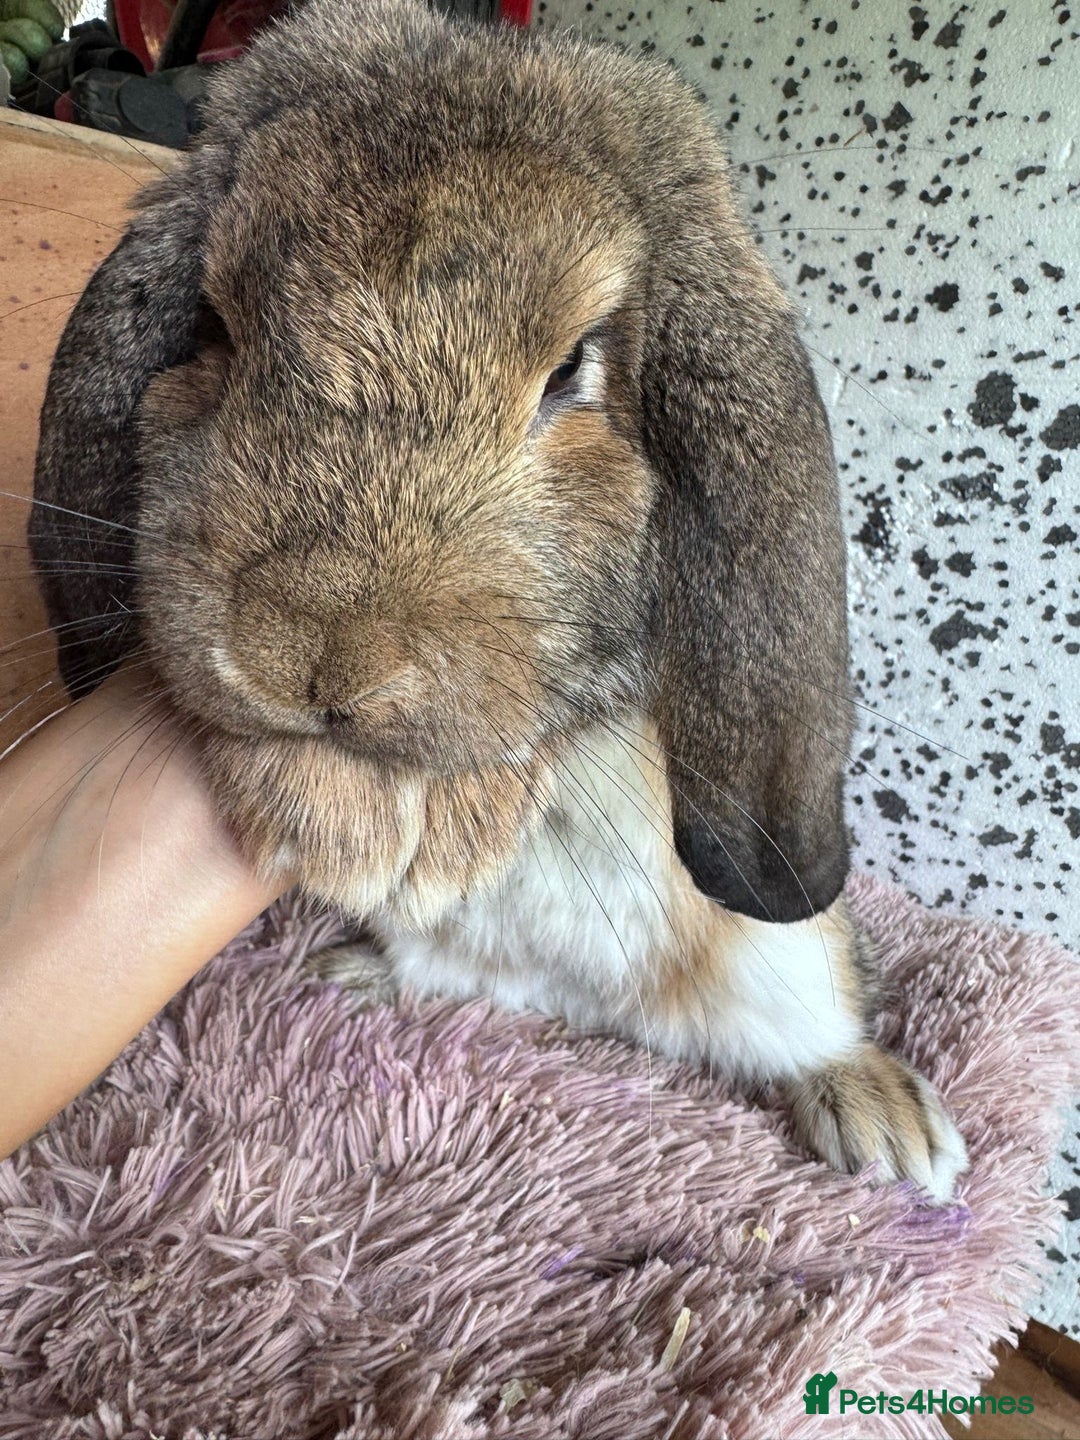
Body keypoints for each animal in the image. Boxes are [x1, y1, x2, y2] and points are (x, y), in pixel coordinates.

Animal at [30, 0, 967, 1201]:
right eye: (219, 329)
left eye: (572, 370)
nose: (312, 659)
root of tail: (580, 1004)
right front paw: (336, 815)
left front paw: (393, 821)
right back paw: (356, 976)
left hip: (787, 960)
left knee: (820, 1026)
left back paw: (886, 1126)